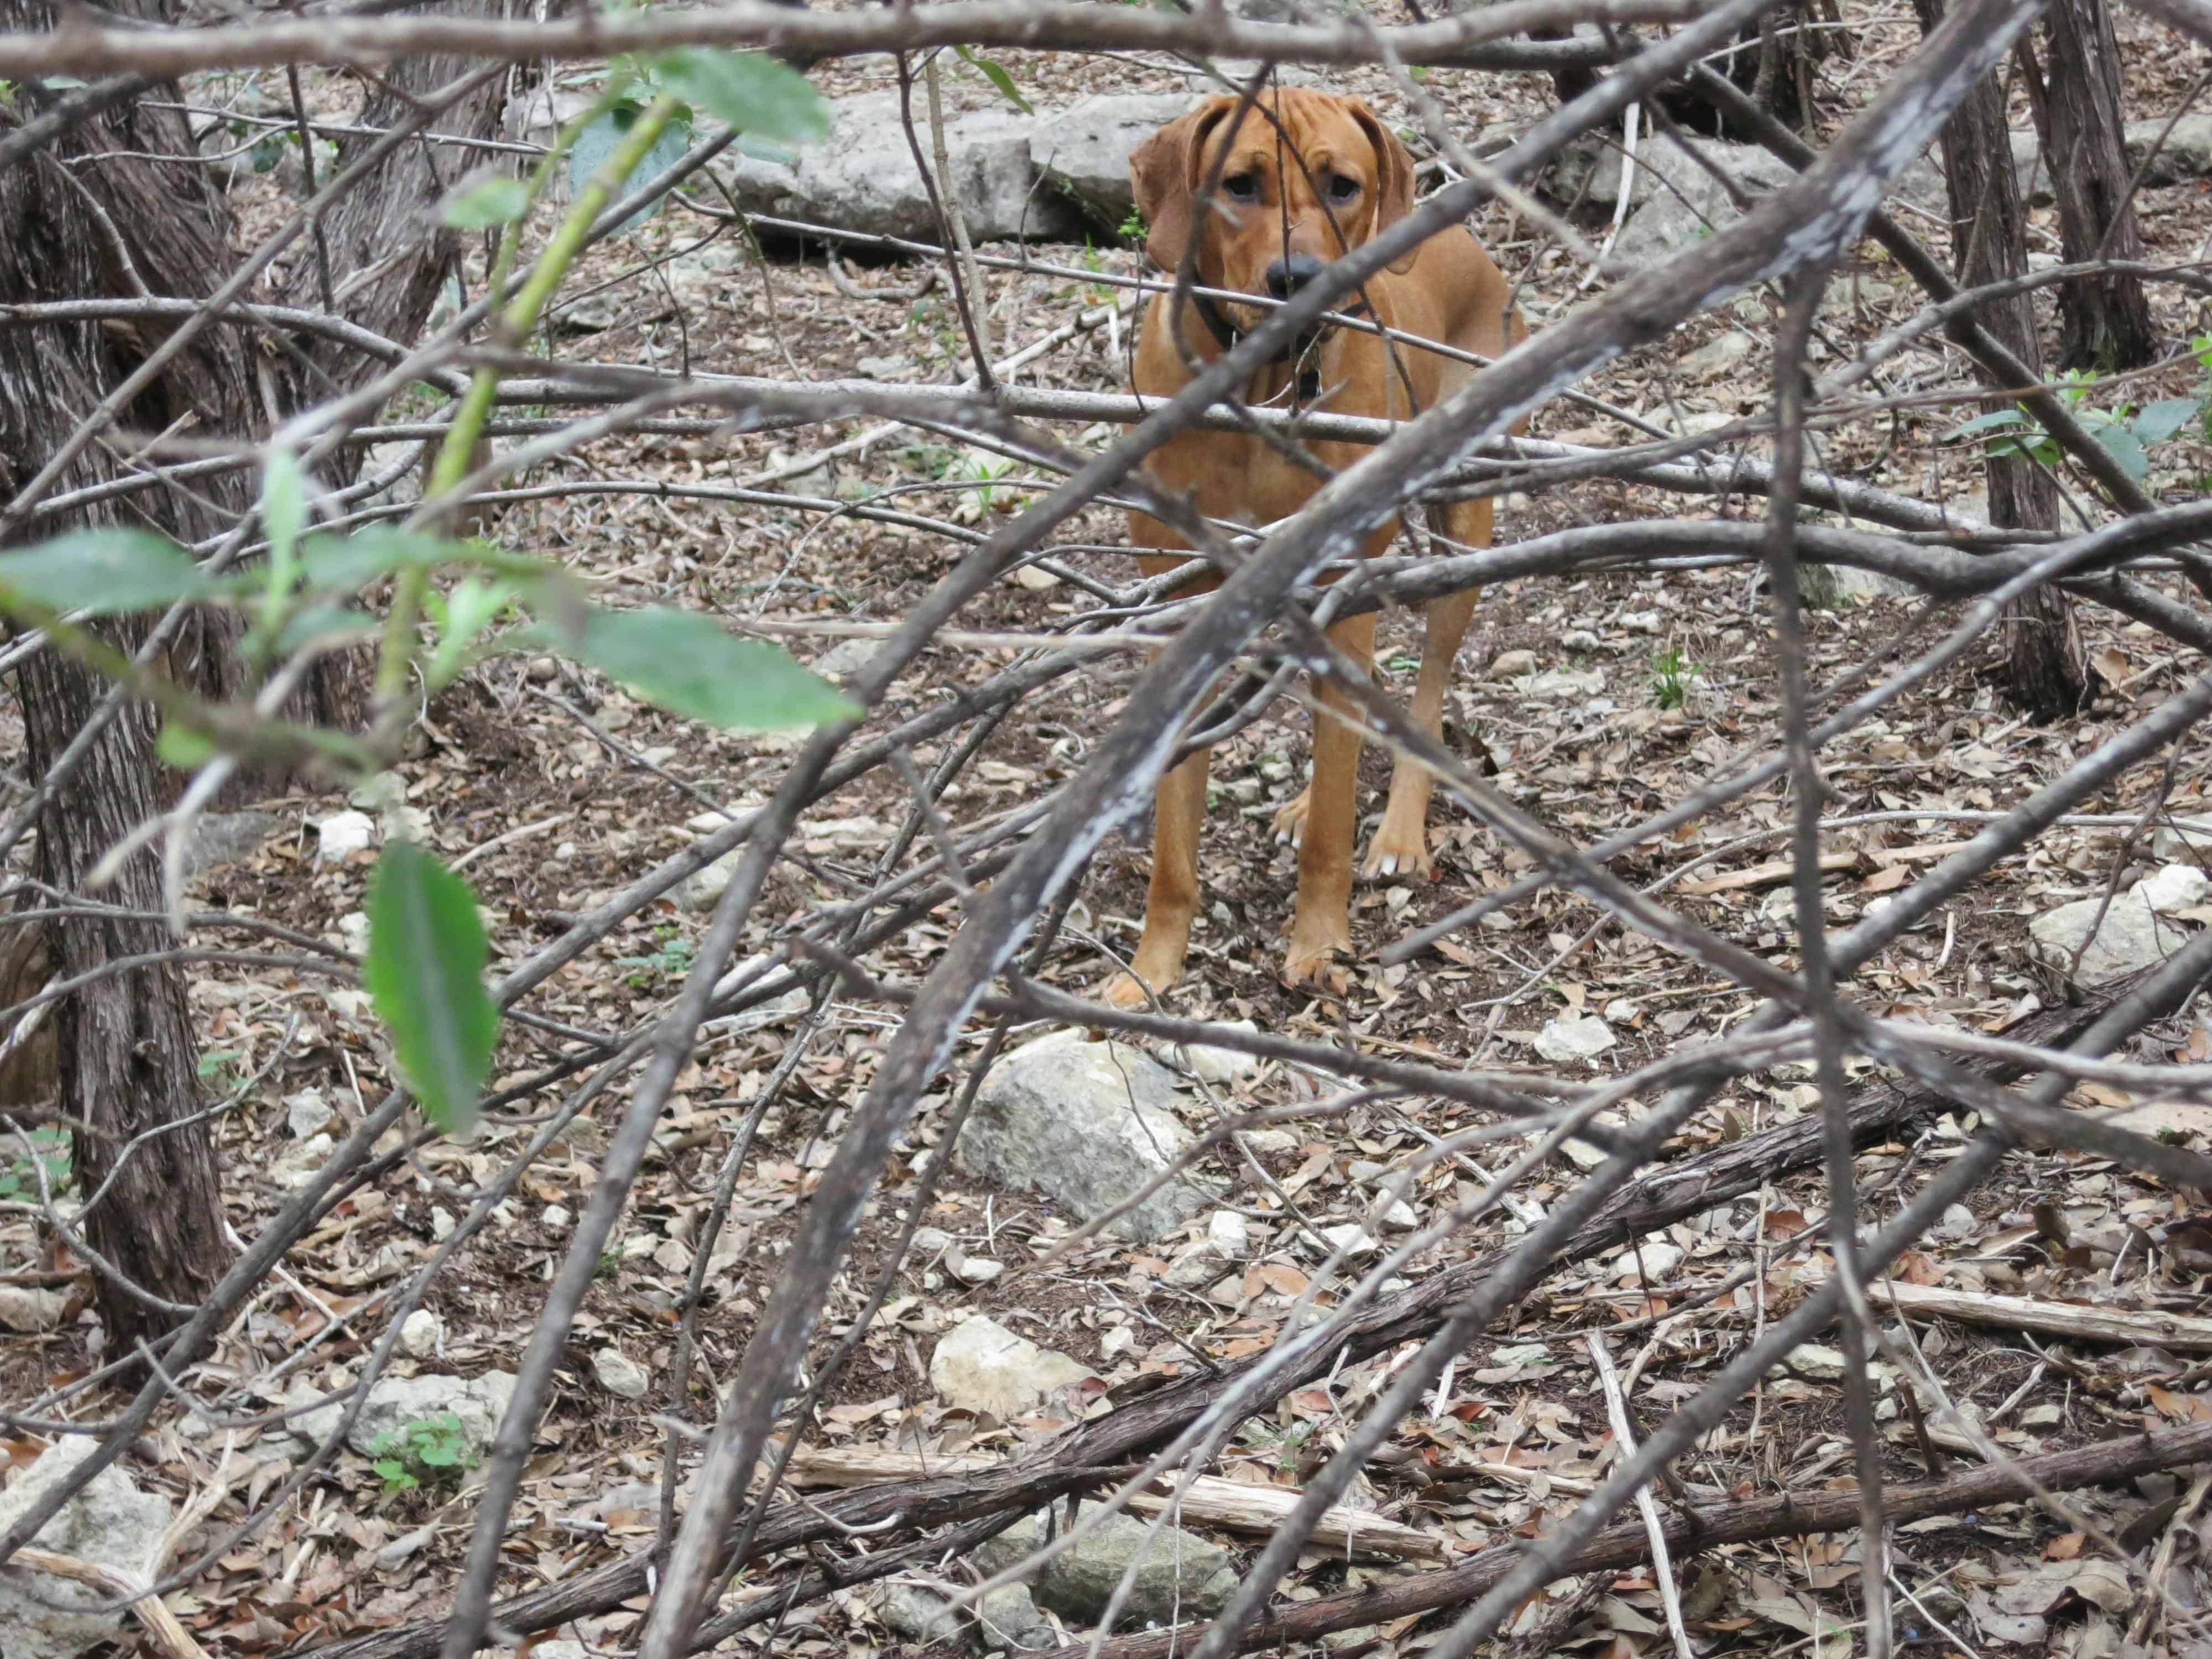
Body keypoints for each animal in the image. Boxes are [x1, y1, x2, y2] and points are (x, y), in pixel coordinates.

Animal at [1106, 91, 1522, 1009]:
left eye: (1341, 186)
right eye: (1240, 183)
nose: (1296, 282)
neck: (1260, 391)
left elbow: (1334, 822)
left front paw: (1320, 944)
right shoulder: (1183, 610)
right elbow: (1173, 842)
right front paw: (1154, 967)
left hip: (1460, 528)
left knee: (1424, 689)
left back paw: (1399, 829)